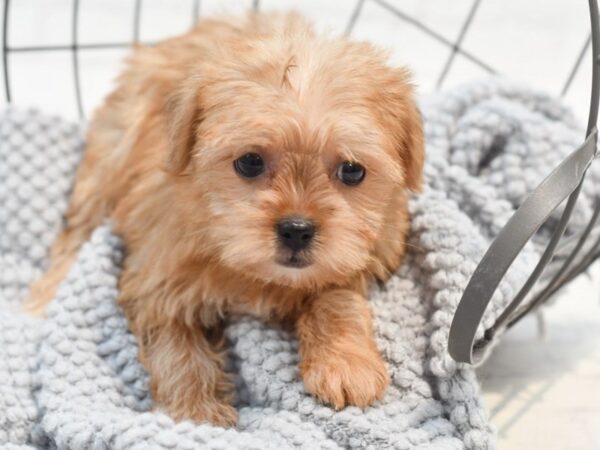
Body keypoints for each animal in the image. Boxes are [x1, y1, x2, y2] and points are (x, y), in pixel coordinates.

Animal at [25, 13, 424, 426]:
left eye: (351, 170)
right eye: (249, 162)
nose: (297, 230)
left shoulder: (363, 254)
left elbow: (336, 296)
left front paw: (345, 362)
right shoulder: (158, 278)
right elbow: (178, 347)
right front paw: (196, 411)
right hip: (107, 163)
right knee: (77, 231)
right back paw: (46, 294)